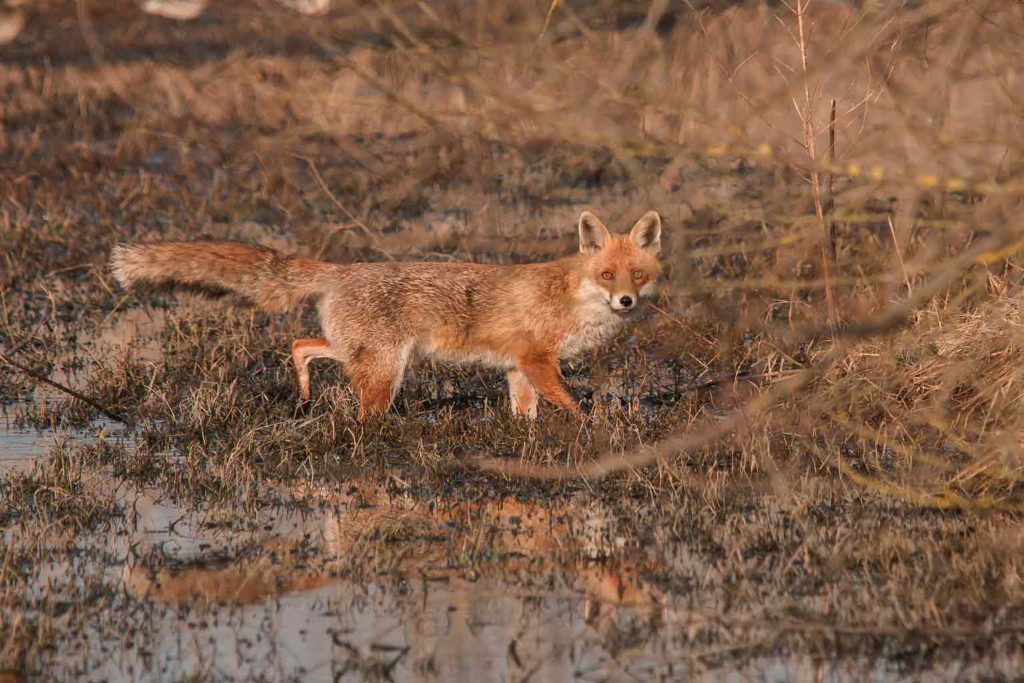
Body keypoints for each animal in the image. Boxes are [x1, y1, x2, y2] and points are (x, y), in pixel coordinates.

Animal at [108, 210, 659, 419]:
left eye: (638, 275)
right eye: (607, 274)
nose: (626, 302)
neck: (571, 298)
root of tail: (343, 269)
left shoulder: (518, 369)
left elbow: (526, 415)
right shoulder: (538, 361)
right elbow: (574, 406)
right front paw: (594, 433)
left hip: (361, 354)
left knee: (301, 345)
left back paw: (303, 394)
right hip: (384, 371)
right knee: (360, 414)